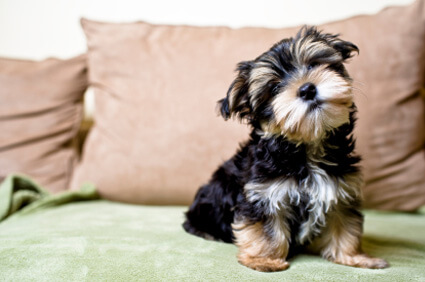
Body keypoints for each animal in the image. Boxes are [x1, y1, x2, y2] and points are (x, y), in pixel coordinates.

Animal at [182, 26, 388, 270]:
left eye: (313, 64)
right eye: (274, 88)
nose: (307, 89)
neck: (307, 147)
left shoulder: (340, 189)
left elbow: (345, 224)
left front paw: (354, 257)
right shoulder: (263, 193)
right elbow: (266, 230)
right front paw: (264, 260)